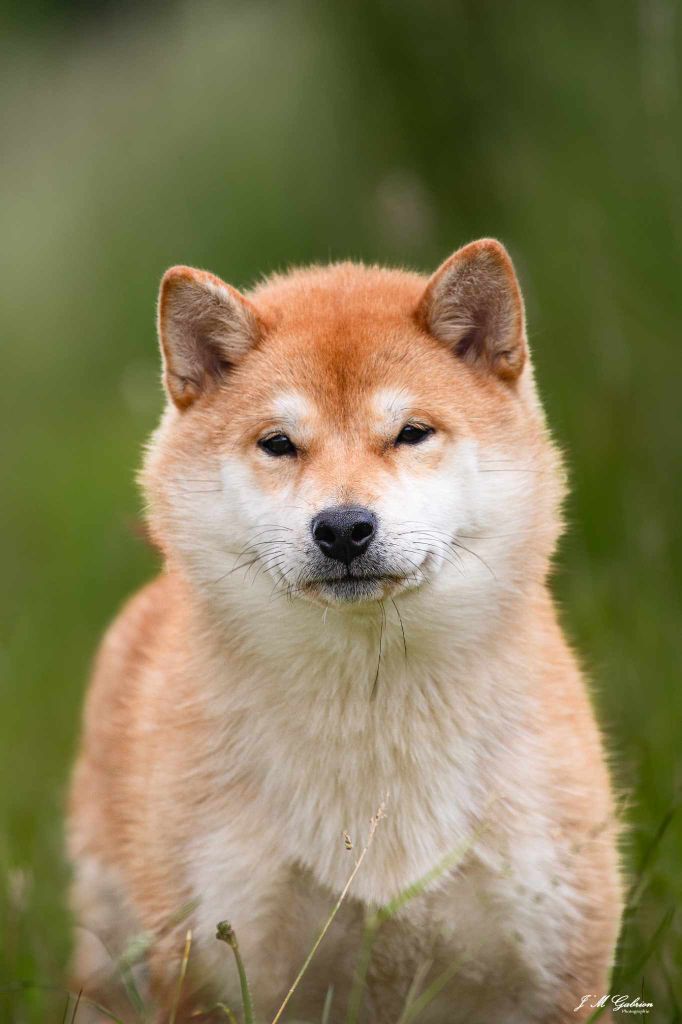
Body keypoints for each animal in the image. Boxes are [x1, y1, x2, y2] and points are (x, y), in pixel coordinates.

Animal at [67, 237, 622, 1015]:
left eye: (411, 433)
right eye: (279, 444)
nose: (342, 528)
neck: (373, 717)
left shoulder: (559, 977)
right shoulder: (213, 977)